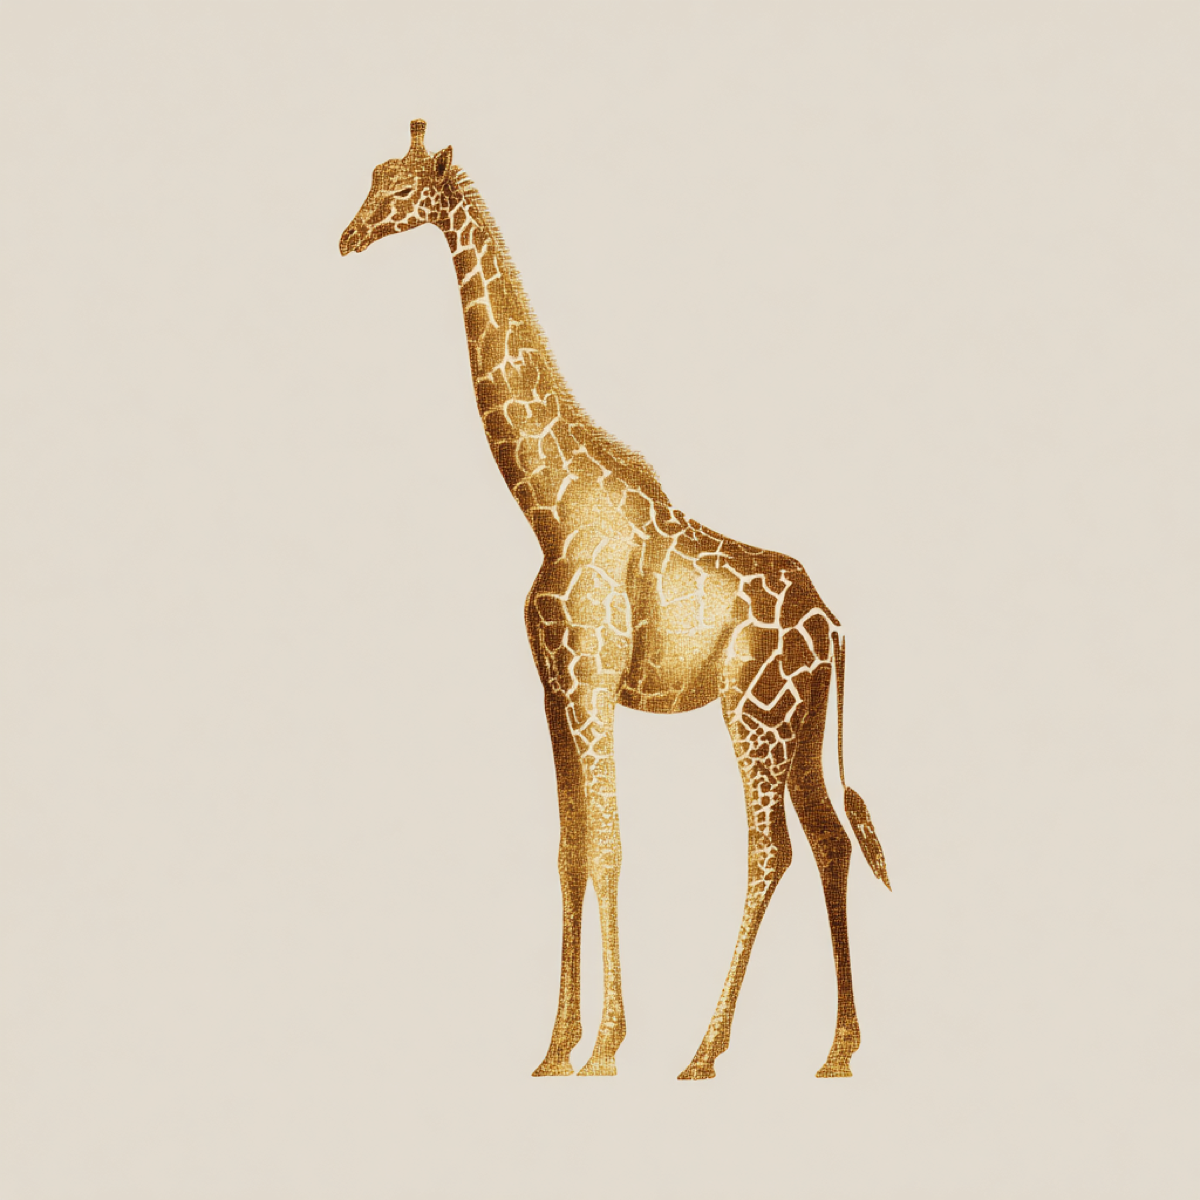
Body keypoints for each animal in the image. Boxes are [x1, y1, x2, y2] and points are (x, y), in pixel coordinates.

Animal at [340, 120, 890, 1080]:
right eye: (373, 177)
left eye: (400, 188)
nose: (345, 236)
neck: (546, 507)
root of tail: (832, 625)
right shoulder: (554, 690)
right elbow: (568, 852)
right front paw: (555, 1048)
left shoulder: (594, 684)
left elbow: (609, 847)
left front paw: (605, 1046)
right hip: (802, 720)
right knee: (829, 841)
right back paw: (836, 1050)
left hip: (753, 713)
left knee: (770, 850)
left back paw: (704, 1051)